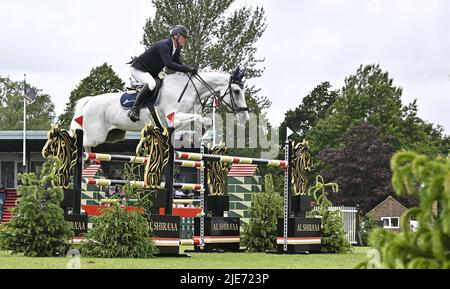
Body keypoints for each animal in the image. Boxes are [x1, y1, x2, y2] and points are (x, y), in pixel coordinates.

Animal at [70, 66, 250, 152]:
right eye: (236, 91)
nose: (245, 118)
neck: (188, 90)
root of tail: (90, 101)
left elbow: (203, 121)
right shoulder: (174, 118)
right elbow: (202, 119)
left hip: (113, 136)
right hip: (96, 135)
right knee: (81, 142)